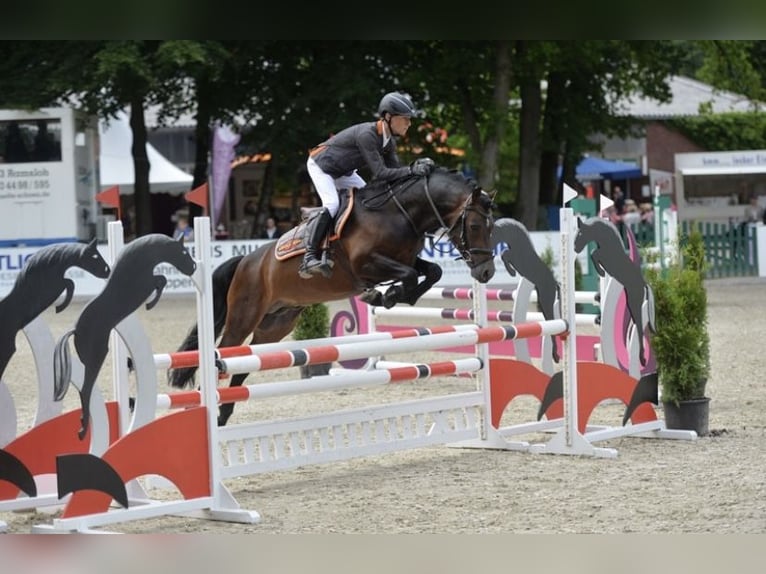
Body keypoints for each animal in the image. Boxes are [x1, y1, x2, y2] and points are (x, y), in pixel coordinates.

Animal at [0, 241, 111, 384]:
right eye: (95, 256)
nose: (107, 271)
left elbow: (69, 282)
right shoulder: (54, 287)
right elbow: (70, 283)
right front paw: (60, 307)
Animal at [53, 235, 198, 440]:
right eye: (184, 252)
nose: (193, 267)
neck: (139, 262)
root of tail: (75, 330)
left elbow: (161, 280)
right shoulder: (146, 284)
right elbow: (161, 280)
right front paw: (150, 304)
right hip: (97, 355)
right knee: (85, 389)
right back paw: (83, 429)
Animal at [170, 166, 498, 428]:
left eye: (493, 227)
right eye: (475, 225)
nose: (486, 272)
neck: (400, 213)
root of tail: (246, 261)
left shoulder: (407, 259)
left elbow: (432, 271)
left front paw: (389, 296)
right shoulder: (365, 264)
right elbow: (407, 275)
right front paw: (382, 295)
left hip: (275, 325)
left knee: (244, 365)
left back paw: (222, 415)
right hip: (243, 317)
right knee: (223, 355)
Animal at [572, 218, 656, 366]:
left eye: (581, 233)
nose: (575, 248)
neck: (607, 241)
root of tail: (644, 284)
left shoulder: (604, 256)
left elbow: (593, 253)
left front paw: (600, 272)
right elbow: (594, 252)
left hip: (634, 301)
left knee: (639, 326)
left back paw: (642, 358)